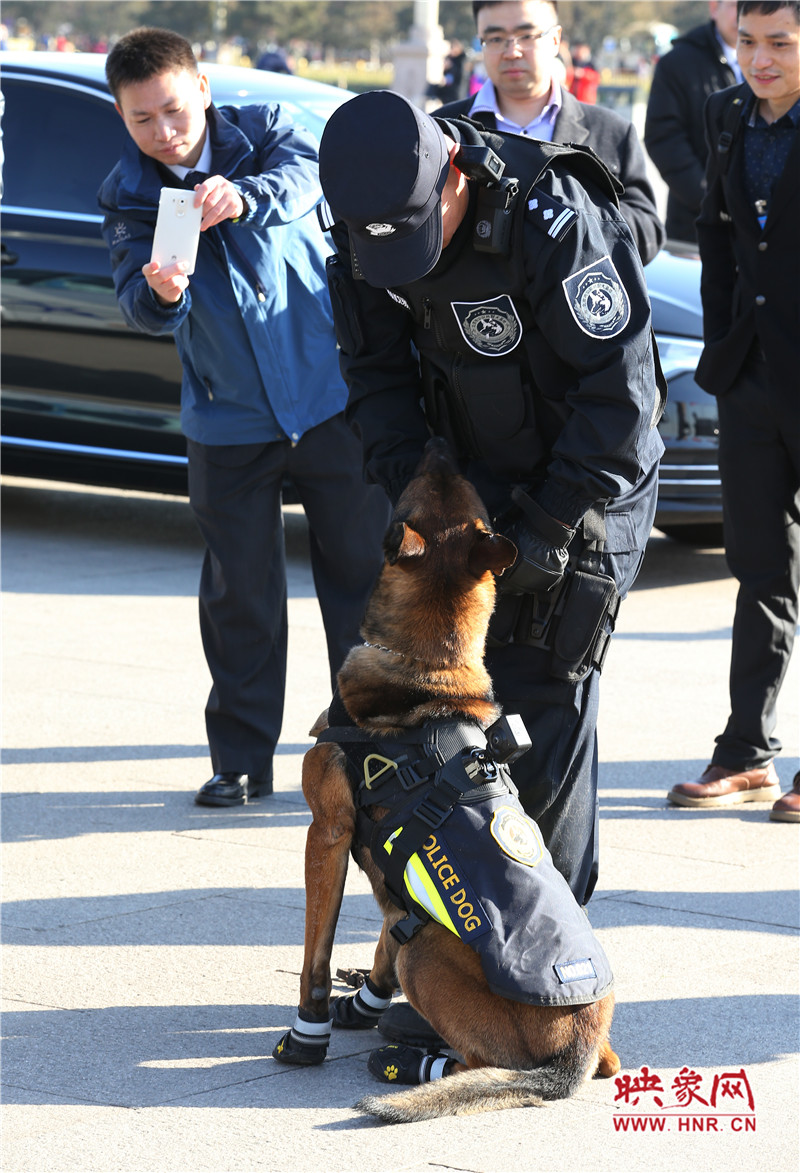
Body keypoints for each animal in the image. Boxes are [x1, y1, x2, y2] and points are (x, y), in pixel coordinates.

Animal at [273, 437, 619, 1122]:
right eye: (462, 489)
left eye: (414, 492)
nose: (439, 443)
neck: (427, 668)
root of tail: (571, 1061)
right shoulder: (394, 890)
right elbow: (385, 933)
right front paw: (365, 1001)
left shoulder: (326, 833)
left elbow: (315, 955)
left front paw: (307, 1034)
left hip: (430, 953)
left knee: (479, 1062)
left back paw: (412, 1065)